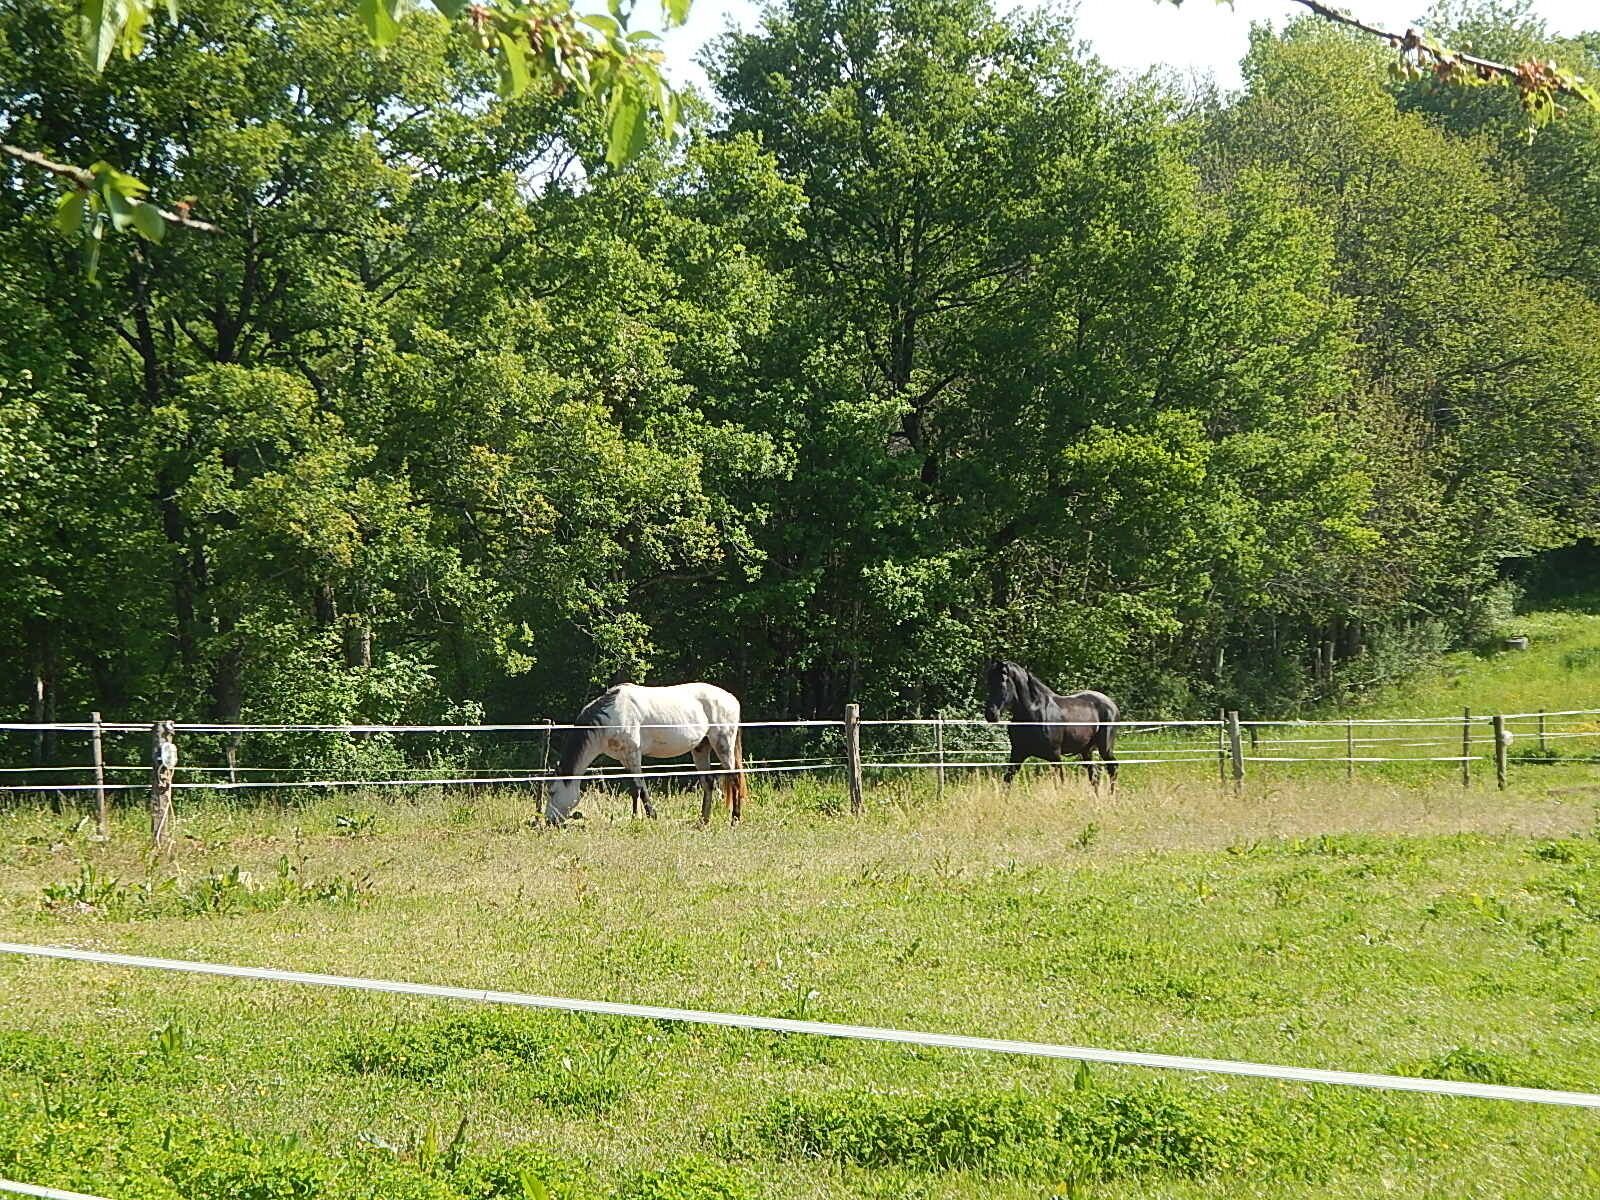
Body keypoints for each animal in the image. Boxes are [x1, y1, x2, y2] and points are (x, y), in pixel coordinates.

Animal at [545, 682, 747, 827]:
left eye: (552, 792)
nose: (549, 821)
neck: (612, 715)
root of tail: (732, 699)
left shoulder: (633, 754)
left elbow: (640, 787)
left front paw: (652, 816)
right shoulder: (625, 758)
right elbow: (634, 790)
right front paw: (636, 818)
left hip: (723, 744)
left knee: (734, 779)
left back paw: (735, 820)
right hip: (701, 748)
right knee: (708, 783)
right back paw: (703, 821)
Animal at [982, 659, 1119, 791]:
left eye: (1002, 682)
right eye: (989, 683)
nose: (991, 714)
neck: (1033, 712)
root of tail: (1112, 705)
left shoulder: (1055, 755)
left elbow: (1060, 782)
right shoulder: (1018, 753)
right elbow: (1007, 782)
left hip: (1105, 748)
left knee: (1112, 768)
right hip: (1086, 751)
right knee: (1094, 776)